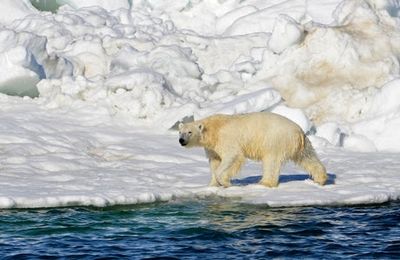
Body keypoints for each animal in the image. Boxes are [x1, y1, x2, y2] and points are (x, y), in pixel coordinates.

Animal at [179, 111, 328, 187]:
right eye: (180, 132)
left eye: (189, 132)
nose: (181, 140)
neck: (213, 129)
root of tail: (298, 132)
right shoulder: (212, 147)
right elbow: (215, 161)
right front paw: (213, 184)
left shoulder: (226, 139)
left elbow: (232, 157)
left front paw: (225, 182)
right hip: (301, 145)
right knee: (308, 157)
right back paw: (320, 179)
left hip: (275, 141)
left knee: (271, 162)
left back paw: (265, 182)